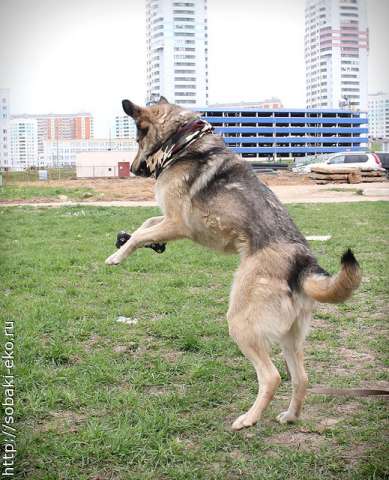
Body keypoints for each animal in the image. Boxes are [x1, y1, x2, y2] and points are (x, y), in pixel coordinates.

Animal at [104, 96, 360, 432]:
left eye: (137, 139)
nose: (133, 169)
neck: (185, 140)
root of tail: (303, 262)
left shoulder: (178, 223)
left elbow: (141, 232)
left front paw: (119, 254)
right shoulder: (170, 220)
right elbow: (145, 224)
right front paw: (141, 242)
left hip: (241, 323)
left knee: (272, 377)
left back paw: (248, 419)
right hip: (289, 336)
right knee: (301, 378)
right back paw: (290, 416)